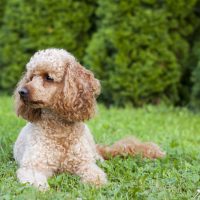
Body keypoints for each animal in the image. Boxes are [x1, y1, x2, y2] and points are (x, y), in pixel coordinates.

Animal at [13, 48, 165, 191]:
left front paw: (95, 186)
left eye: (48, 77)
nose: (22, 92)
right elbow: (35, 182)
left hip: (93, 155)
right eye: (31, 77)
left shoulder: (85, 164)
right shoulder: (33, 166)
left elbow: (96, 176)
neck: (60, 130)